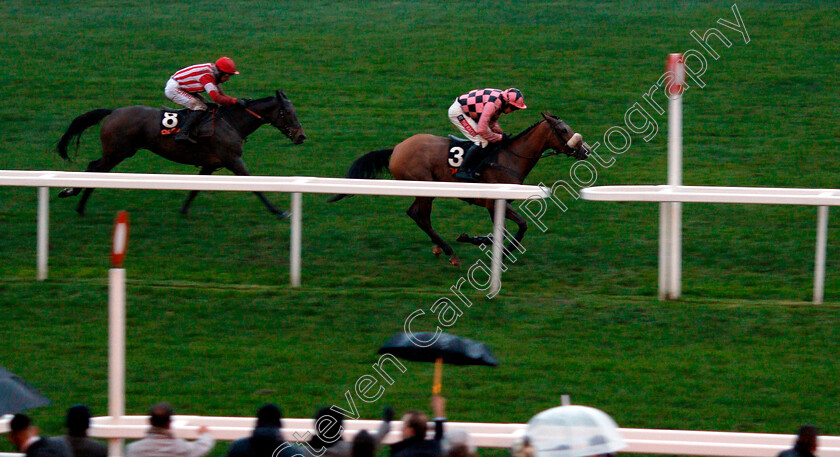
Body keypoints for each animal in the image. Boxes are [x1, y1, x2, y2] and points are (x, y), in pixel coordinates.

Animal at [56, 91, 306, 219]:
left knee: (95, 168)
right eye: (287, 112)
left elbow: (195, 189)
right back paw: (73, 198)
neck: (232, 122)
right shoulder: (233, 159)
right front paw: (279, 211)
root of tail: (113, 111)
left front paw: (183, 211)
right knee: (94, 168)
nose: (301, 137)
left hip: (119, 152)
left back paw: (76, 200)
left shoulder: (211, 164)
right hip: (118, 151)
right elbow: (255, 187)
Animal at [328, 111, 592, 266]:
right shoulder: (493, 202)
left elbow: (511, 229)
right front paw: (492, 247)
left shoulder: (500, 203)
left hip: (426, 190)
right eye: (564, 130)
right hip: (425, 185)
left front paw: (489, 245)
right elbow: (518, 227)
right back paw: (449, 251)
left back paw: (439, 247)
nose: (585, 150)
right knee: (417, 215)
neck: (509, 157)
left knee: (421, 215)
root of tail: (397, 149)